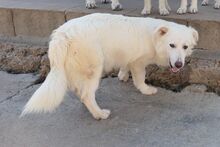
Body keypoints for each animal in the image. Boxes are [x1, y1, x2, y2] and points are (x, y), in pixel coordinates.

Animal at [21, 13, 199, 119]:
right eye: (172, 45)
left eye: (185, 47)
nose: (179, 64)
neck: (154, 37)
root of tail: (62, 34)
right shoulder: (138, 62)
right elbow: (140, 78)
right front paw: (146, 90)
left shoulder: (128, 57)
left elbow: (125, 66)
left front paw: (122, 76)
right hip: (94, 68)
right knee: (86, 94)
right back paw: (99, 114)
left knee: (81, 91)